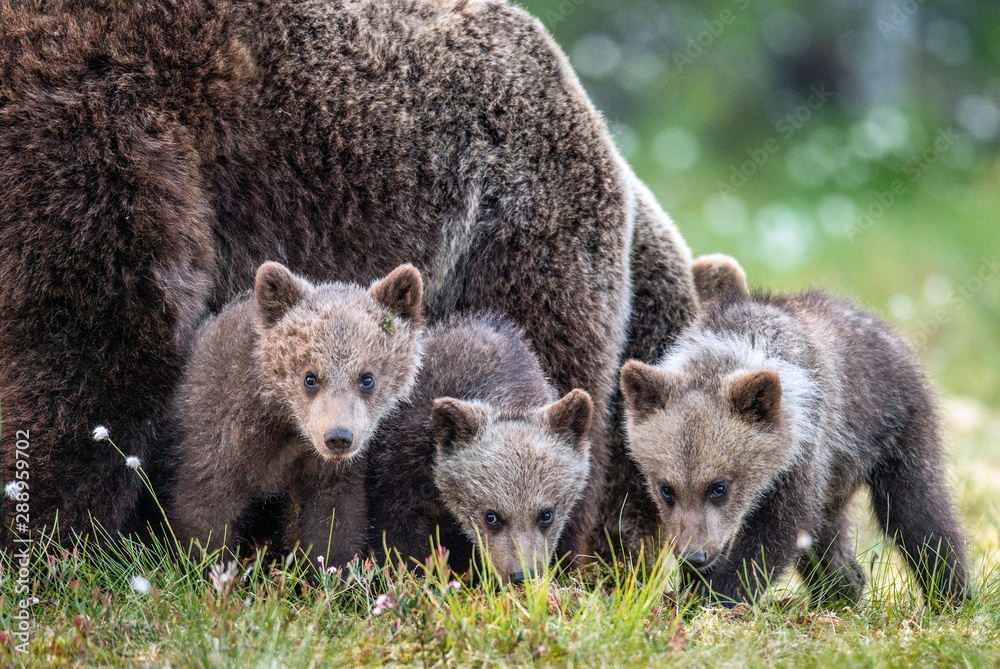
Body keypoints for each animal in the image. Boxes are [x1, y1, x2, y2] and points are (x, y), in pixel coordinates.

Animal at [168, 261, 423, 566]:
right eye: (310, 377)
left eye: (367, 378)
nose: (338, 437)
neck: (285, 421)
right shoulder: (221, 428)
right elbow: (205, 508)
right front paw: (205, 563)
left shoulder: (325, 469)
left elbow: (333, 519)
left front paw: (332, 568)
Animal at [619, 272, 970, 607]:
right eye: (666, 489)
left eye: (719, 487)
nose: (695, 555)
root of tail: (883, 327)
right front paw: (694, 590)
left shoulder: (805, 448)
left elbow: (780, 529)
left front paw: (722, 595)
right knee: (830, 531)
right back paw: (840, 589)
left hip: (894, 425)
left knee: (916, 509)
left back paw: (952, 594)